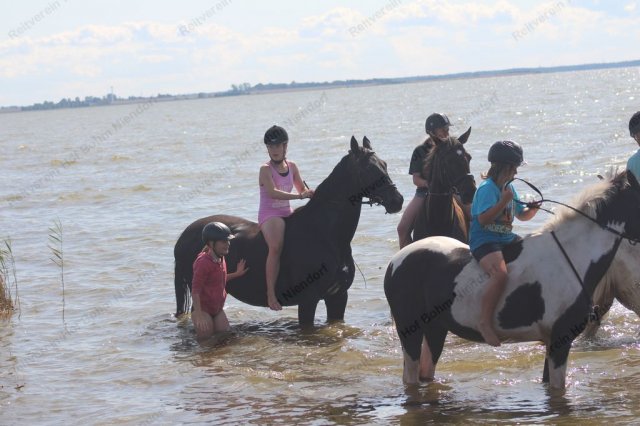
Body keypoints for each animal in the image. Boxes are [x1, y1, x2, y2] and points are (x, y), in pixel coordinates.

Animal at [174, 136, 404, 325]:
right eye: (368, 170)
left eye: (384, 164)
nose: (397, 200)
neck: (326, 235)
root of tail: (184, 236)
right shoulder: (308, 301)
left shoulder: (338, 298)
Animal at [384, 171, 640, 389]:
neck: (570, 255)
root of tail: (395, 261)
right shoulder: (560, 338)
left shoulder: (551, 341)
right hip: (410, 330)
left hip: (436, 329)